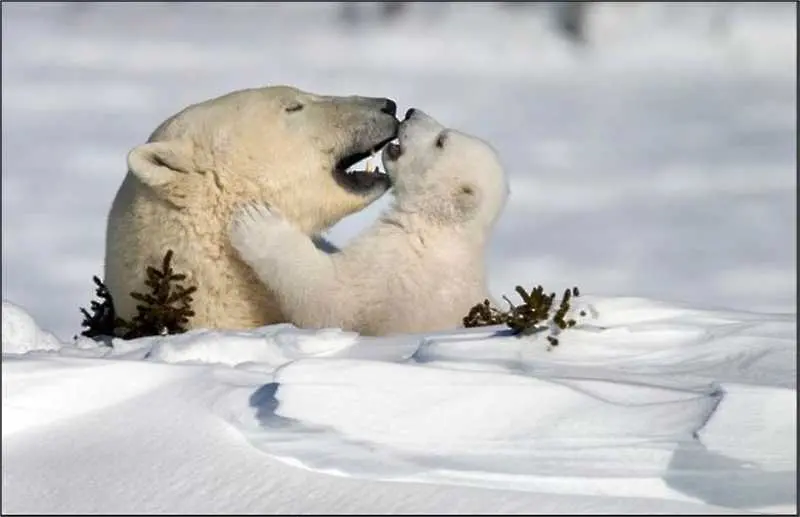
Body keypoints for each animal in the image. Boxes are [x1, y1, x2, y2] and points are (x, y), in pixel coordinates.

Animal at [228, 109, 510, 334]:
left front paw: (255, 220)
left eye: (441, 141)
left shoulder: (393, 269)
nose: (410, 112)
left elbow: (330, 298)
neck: (436, 227)